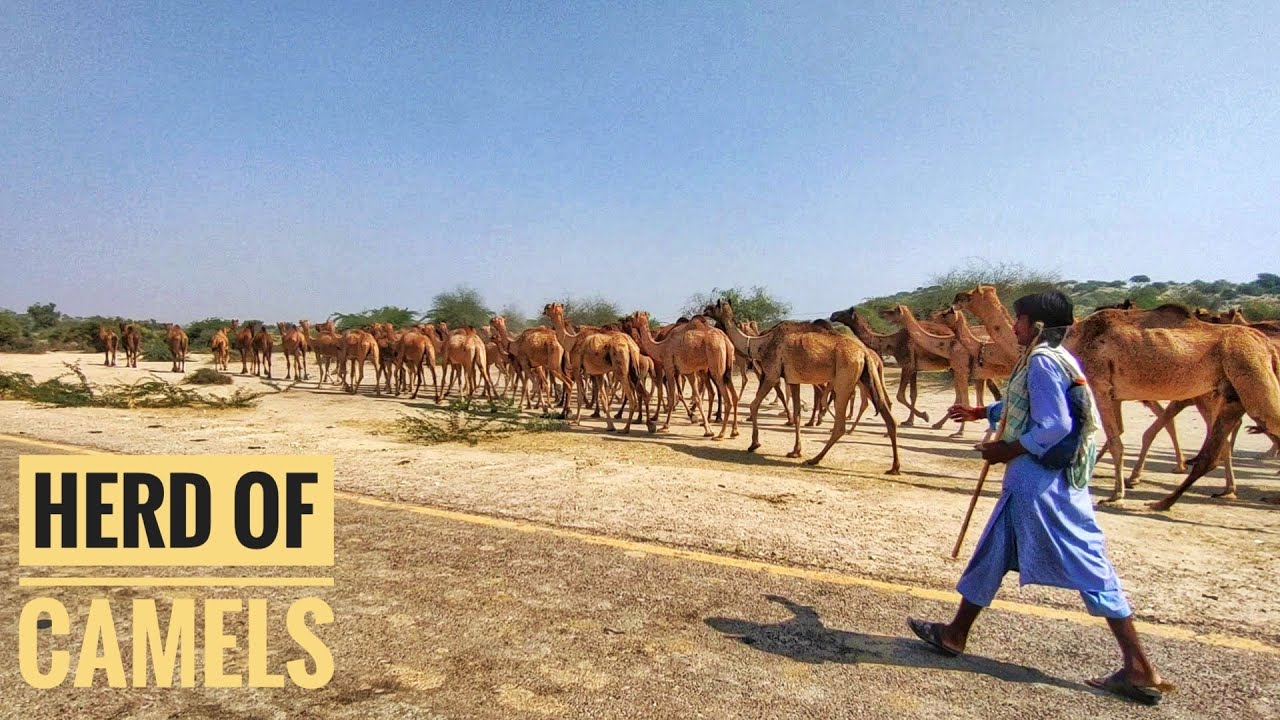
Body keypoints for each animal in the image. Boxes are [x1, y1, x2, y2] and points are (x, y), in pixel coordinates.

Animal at [708, 299, 900, 472]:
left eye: (712, 307)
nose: (704, 311)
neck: (759, 344)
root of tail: (864, 353)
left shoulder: (771, 374)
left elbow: (754, 405)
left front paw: (754, 444)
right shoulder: (793, 380)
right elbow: (797, 414)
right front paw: (795, 451)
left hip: (844, 379)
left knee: (840, 424)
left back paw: (815, 459)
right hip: (867, 376)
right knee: (888, 415)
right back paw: (894, 467)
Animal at [1060, 304, 1280, 507]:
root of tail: (1267, 345)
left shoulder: (1099, 387)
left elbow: (1115, 442)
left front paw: (1116, 495)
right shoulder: (1113, 395)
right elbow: (1116, 434)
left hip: (1250, 377)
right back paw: (1225, 491)